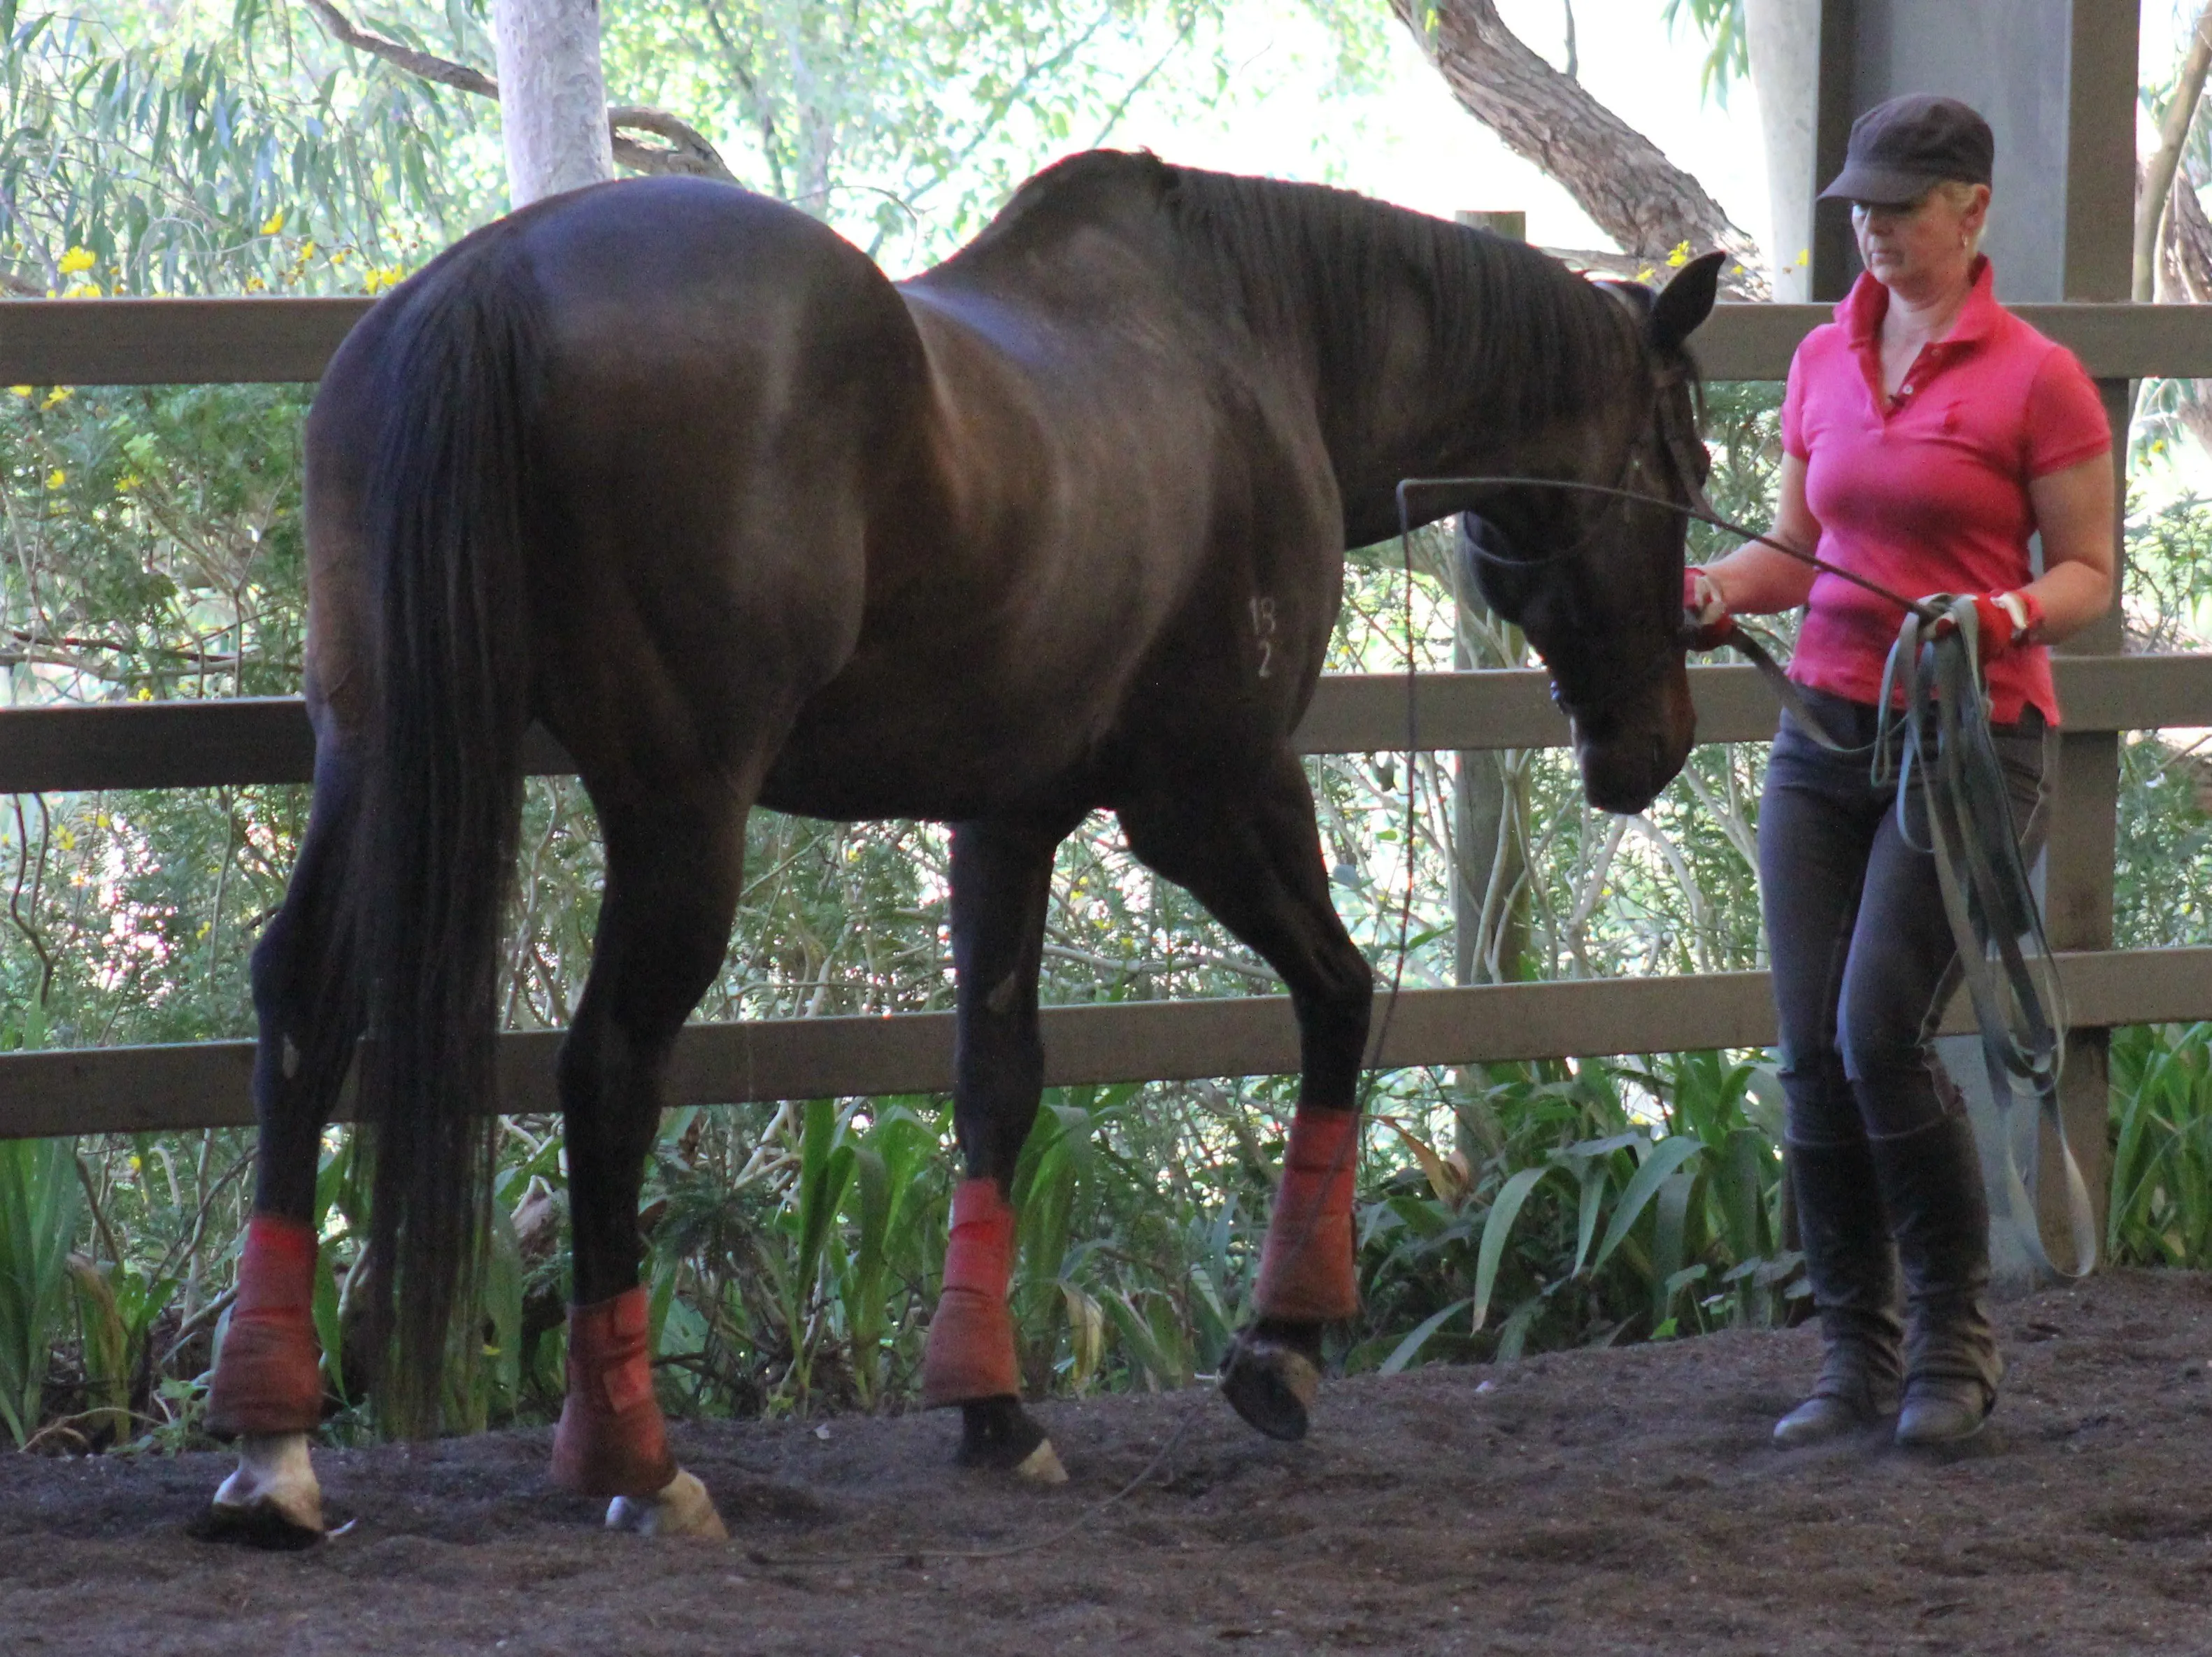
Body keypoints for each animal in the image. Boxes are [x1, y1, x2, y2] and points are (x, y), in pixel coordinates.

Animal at [203, 151, 1725, 1539]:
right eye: (1685, 464)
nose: (1654, 738)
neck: (1251, 345)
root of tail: (495, 282)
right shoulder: (1210, 792)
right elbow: (1340, 997)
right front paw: (1282, 1345)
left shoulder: (1009, 815)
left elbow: (997, 1077)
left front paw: (991, 1404)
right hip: (680, 810)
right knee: (609, 1068)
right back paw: (636, 1456)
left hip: (374, 747)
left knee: (306, 1005)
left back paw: (273, 1443)